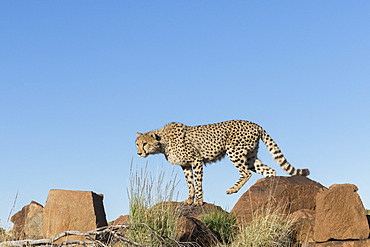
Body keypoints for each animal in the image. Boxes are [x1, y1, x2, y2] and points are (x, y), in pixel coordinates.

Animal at [136, 120, 310, 206]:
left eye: (144, 144)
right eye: (137, 144)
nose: (138, 153)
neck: (163, 143)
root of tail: (255, 123)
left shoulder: (196, 160)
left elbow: (197, 182)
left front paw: (199, 201)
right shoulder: (185, 165)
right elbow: (190, 183)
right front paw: (189, 199)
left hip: (234, 150)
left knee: (246, 173)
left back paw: (232, 189)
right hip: (250, 157)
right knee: (269, 170)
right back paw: (270, 188)